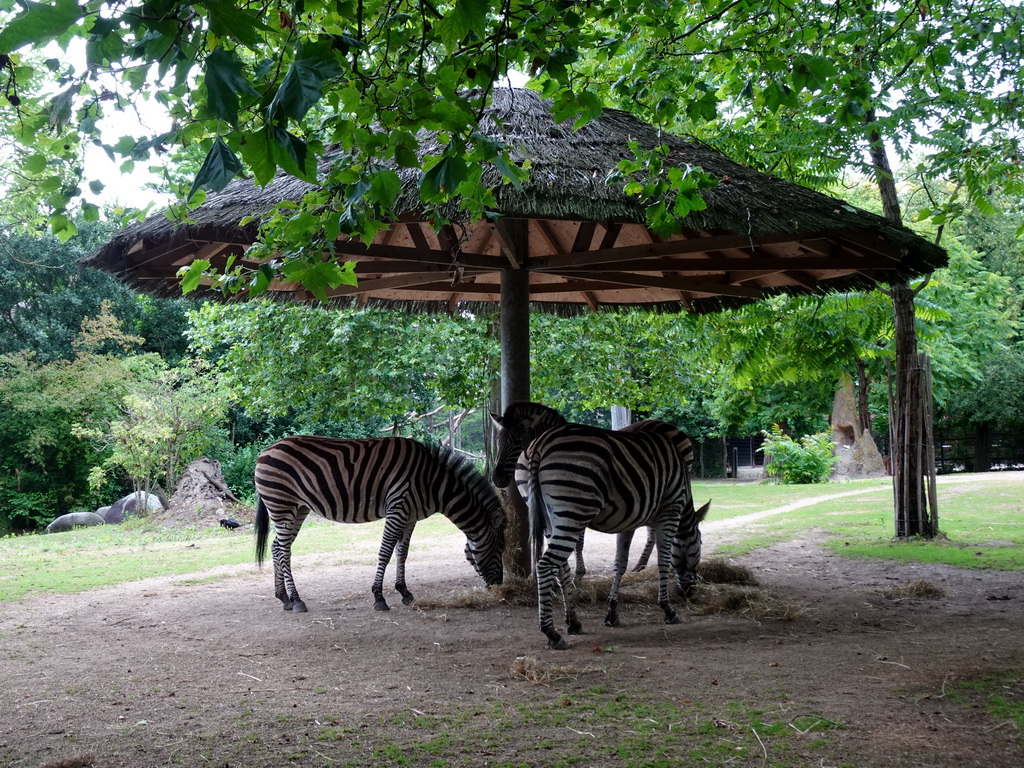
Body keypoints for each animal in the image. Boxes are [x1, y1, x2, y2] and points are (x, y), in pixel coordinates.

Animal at [256, 438, 503, 614]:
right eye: (499, 549)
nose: (500, 587)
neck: (432, 482)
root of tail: (265, 451)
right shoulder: (398, 507)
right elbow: (385, 552)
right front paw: (379, 597)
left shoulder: (410, 517)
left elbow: (402, 553)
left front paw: (404, 592)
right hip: (282, 505)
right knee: (284, 551)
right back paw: (297, 600)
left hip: (298, 508)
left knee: (277, 547)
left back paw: (284, 598)